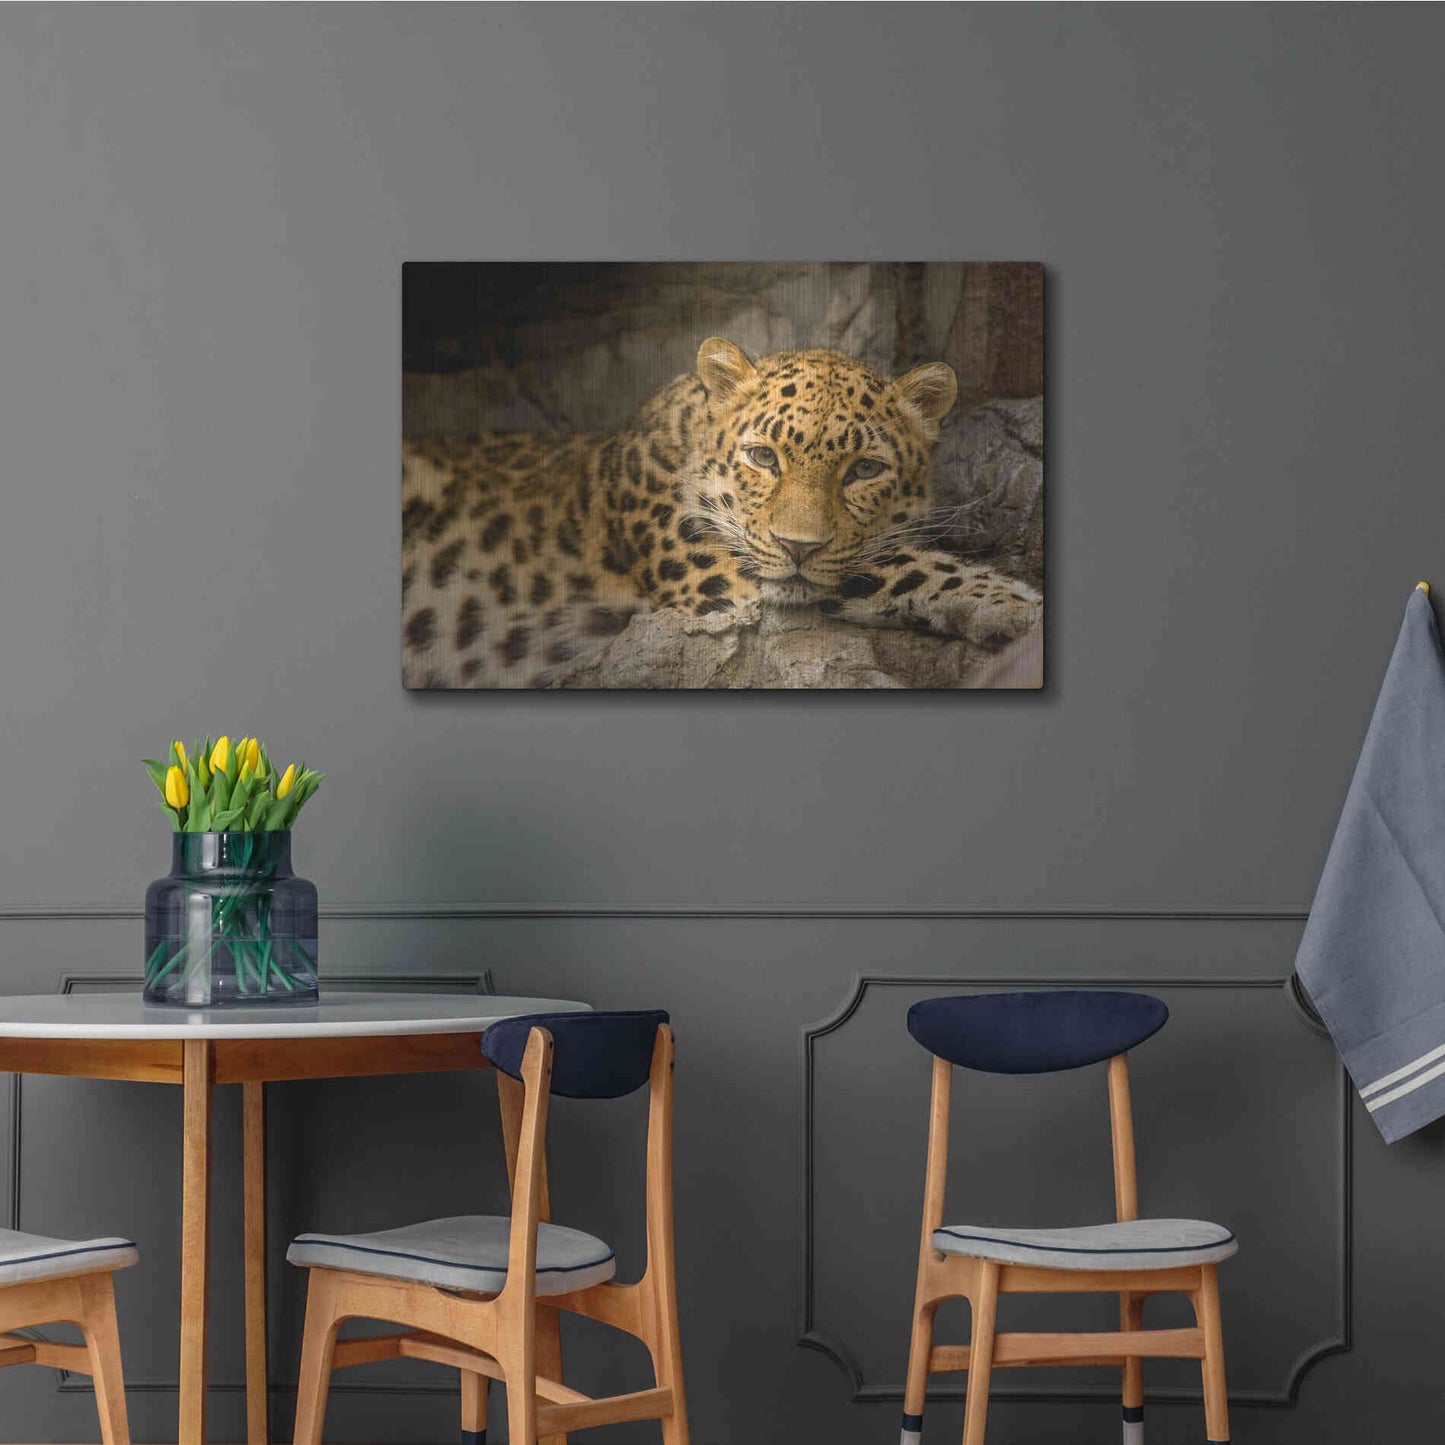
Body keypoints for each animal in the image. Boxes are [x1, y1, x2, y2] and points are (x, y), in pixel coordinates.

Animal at [402, 337, 1041, 688]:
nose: (798, 546)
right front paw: (1015, 605)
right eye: (763, 457)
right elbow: (901, 565)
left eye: (864, 469)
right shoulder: (723, 581)